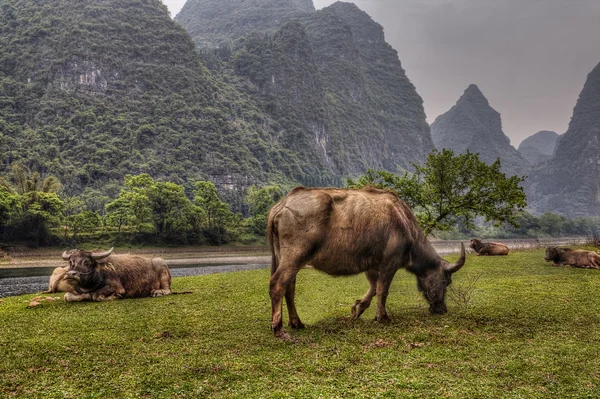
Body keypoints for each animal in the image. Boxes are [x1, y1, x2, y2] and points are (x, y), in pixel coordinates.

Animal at [268, 189, 468, 340]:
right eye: (446, 281)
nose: (442, 309)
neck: (404, 224)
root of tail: (282, 205)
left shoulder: (371, 266)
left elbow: (373, 287)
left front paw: (358, 308)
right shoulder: (390, 262)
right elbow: (382, 290)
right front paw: (382, 316)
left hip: (285, 257)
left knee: (289, 287)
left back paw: (297, 322)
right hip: (295, 256)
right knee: (277, 284)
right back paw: (279, 329)